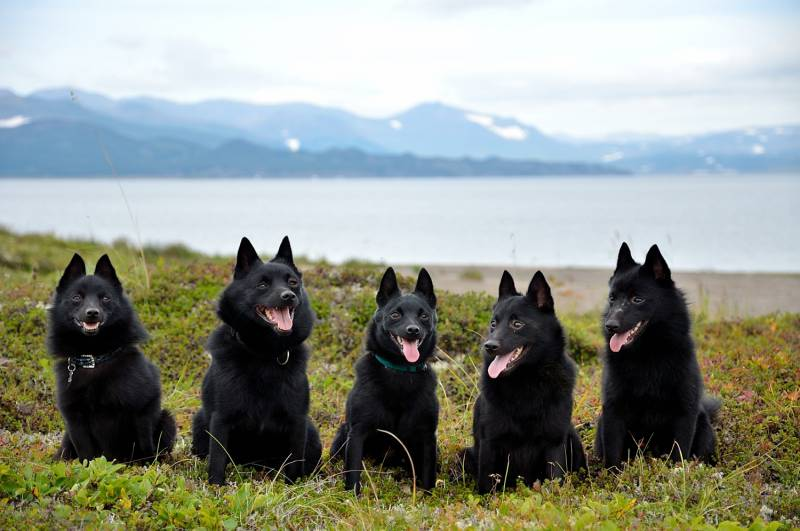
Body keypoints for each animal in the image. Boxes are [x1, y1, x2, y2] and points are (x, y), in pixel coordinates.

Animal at [48, 256, 175, 464]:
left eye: (105, 298)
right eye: (77, 298)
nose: (92, 312)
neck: (94, 358)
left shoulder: (141, 409)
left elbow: (143, 443)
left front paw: (144, 467)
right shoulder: (75, 419)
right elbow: (86, 454)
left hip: (167, 419)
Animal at [191, 237, 322, 486]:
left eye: (292, 282)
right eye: (262, 285)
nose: (288, 296)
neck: (264, 354)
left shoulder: (298, 422)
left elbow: (293, 464)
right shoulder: (221, 420)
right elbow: (217, 461)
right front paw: (216, 488)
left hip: (312, 433)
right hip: (200, 422)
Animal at [332, 268, 440, 496]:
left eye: (423, 316)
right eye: (395, 314)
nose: (413, 330)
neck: (400, 371)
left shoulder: (427, 436)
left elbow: (428, 476)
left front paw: (428, 499)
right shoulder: (358, 432)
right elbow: (353, 474)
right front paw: (352, 498)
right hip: (342, 433)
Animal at [460, 272, 584, 492]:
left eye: (517, 324)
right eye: (493, 324)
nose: (489, 346)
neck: (526, 380)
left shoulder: (554, 443)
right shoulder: (490, 443)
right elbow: (486, 487)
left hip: (573, 440)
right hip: (465, 455)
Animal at [592, 243, 720, 468]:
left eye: (637, 299)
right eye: (612, 298)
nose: (610, 325)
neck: (647, 356)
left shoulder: (684, 414)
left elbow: (679, 454)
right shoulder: (613, 413)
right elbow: (613, 456)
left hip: (704, 427)